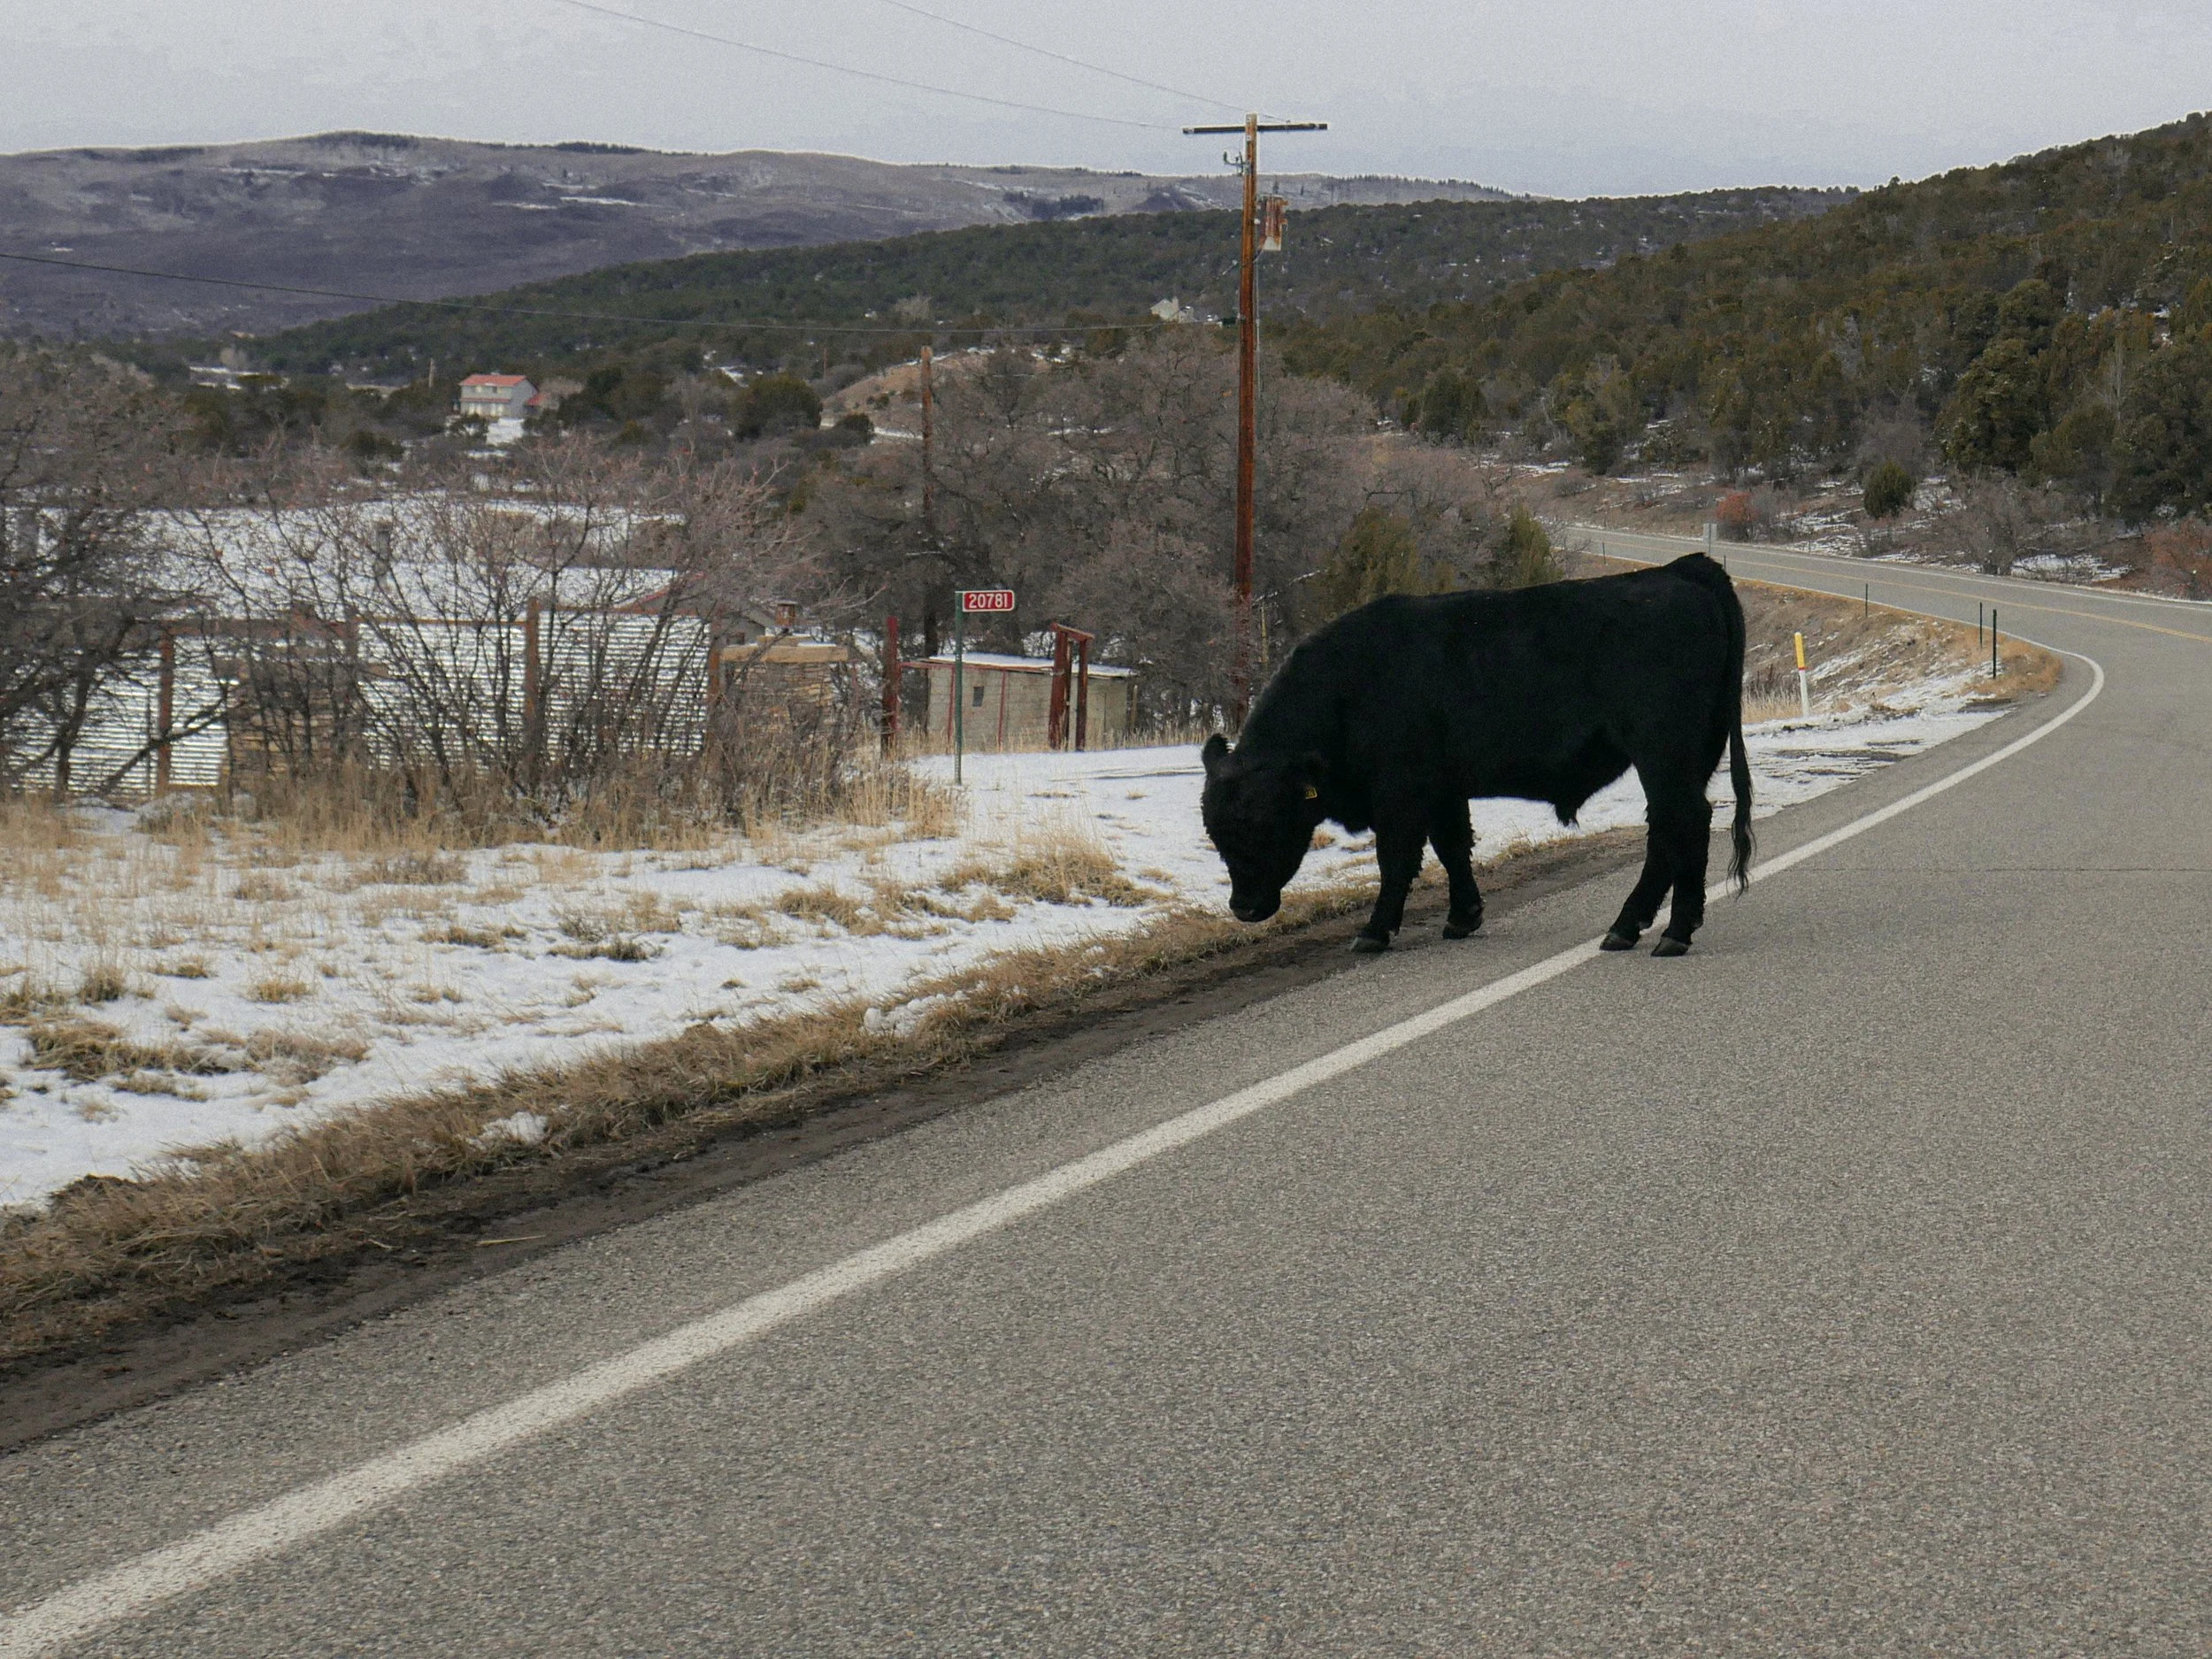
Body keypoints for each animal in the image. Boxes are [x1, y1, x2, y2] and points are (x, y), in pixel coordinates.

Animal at [1200, 552, 1754, 957]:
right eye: (1215, 830)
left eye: (1266, 822)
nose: (1244, 908)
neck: (1348, 686)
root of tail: (1680, 570)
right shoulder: (1444, 790)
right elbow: (1453, 847)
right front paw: (1463, 917)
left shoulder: (1400, 795)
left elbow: (1397, 860)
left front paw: (1374, 932)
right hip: (1685, 759)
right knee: (1673, 830)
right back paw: (1637, 928)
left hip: (1664, 757)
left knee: (1680, 824)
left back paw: (1667, 933)